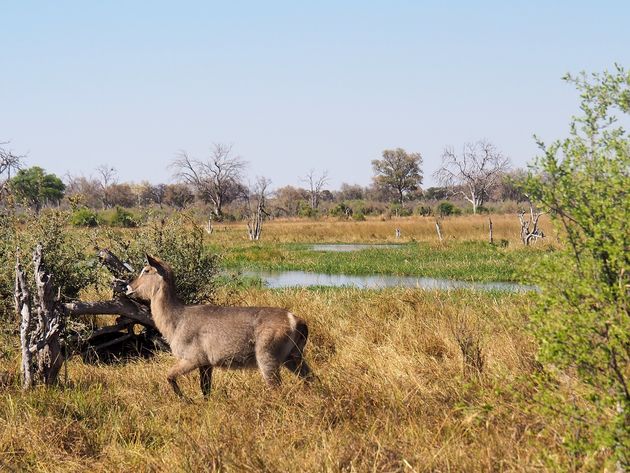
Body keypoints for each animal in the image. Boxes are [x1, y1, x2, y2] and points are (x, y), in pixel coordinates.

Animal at [127, 254, 314, 398]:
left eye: (146, 270)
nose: (128, 287)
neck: (177, 318)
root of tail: (296, 319)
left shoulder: (192, 359)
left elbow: (169, 376)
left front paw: (186, 400)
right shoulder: (206, 364)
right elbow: (205, 390)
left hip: (268, 359)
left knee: (277, 390)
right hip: (293, 358)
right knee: (312, 380)